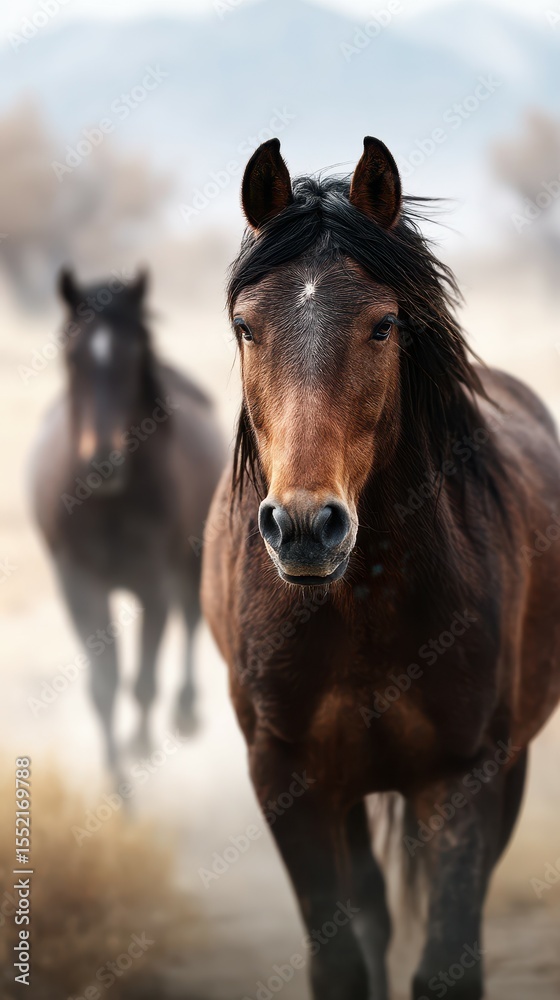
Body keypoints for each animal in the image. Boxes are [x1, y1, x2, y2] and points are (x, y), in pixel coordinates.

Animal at [31, 269, 225, 771]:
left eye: (134, 354)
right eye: (71, 356)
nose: (102, 463)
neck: (108, 505)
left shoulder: (153, 586)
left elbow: (144, 682)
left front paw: (141, 746)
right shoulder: (80, 588)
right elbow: (105, 688)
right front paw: (116, 778)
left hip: (190, 560)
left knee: (191, 619)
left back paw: (186, 711)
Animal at [201, 137, 560, 999]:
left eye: (384, 324)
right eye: (245, 325)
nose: (305, 528)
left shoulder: (464, 777)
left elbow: (448, 964)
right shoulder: (287, 779)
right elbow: (340, 962)